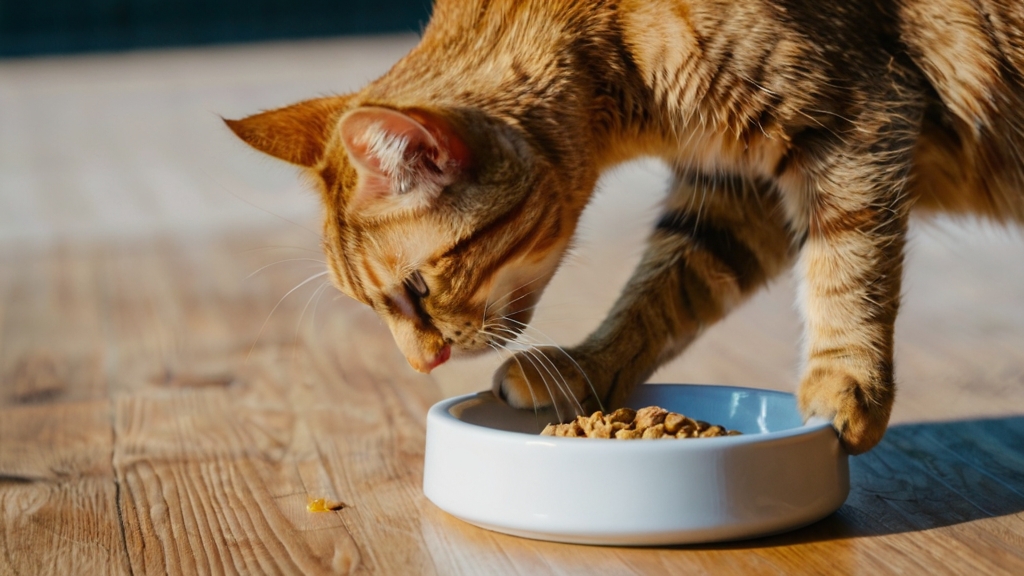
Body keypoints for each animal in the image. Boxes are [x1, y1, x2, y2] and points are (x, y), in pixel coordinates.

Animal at [228, 0, 1024, 453]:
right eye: (371, 303)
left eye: (419, 289)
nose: (420, 365)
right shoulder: (735, 189)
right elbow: (665, 291)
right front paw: (588, 366)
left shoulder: (857, 116)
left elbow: (848, 268)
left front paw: (844, 380)